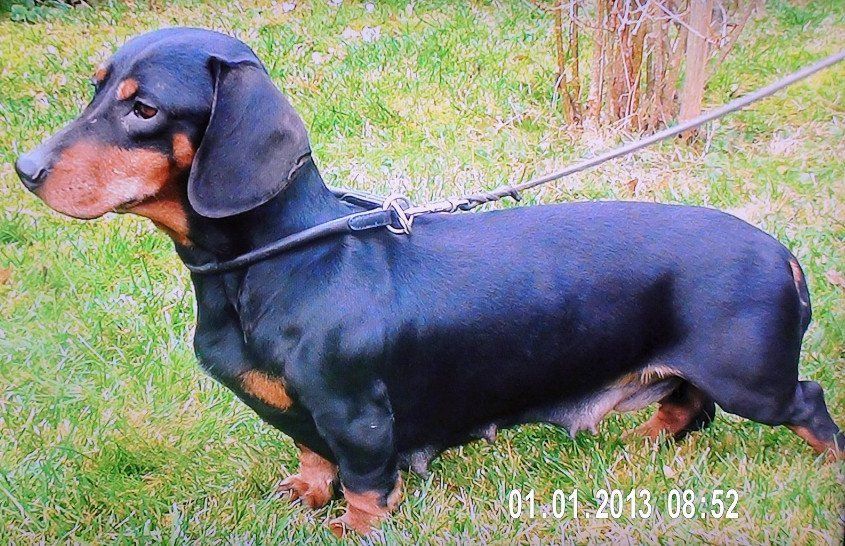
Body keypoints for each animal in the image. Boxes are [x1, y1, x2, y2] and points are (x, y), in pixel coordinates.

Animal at [15, 28, 843, 535]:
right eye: (97, 89)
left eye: (145, 109)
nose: (24, 169)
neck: (282, 259)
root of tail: (779, 250)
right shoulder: (315, 420)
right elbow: (312, 455)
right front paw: (305, 494)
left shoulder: (357, 416)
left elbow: (362, 483)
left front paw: (352, 528)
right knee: (687, 407)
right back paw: (638, 442)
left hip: (752, 378)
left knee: (803, 402)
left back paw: (828, 464)